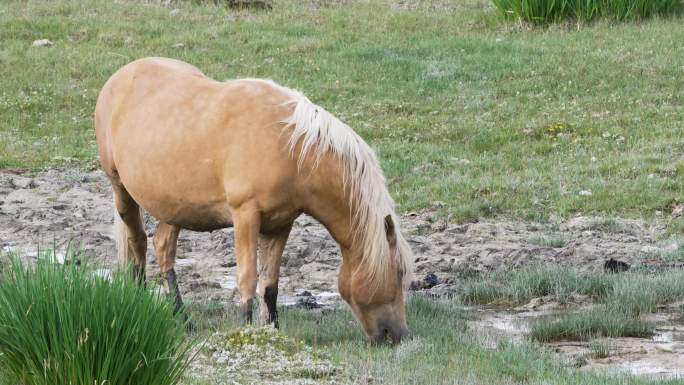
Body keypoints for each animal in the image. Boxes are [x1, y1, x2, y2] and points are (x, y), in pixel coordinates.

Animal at [94, 56, 414, 342]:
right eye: (399, 274)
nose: (398, 335)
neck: (290, 147)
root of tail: (119, 77)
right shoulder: (245, 215)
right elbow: (247, 278)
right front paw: (246, 332)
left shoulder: (280, 224)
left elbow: (270, 285)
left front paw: (272, 332)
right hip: (122, 191)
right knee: (137, 243)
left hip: (174, 208)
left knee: (162, 248)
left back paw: (184, 322)